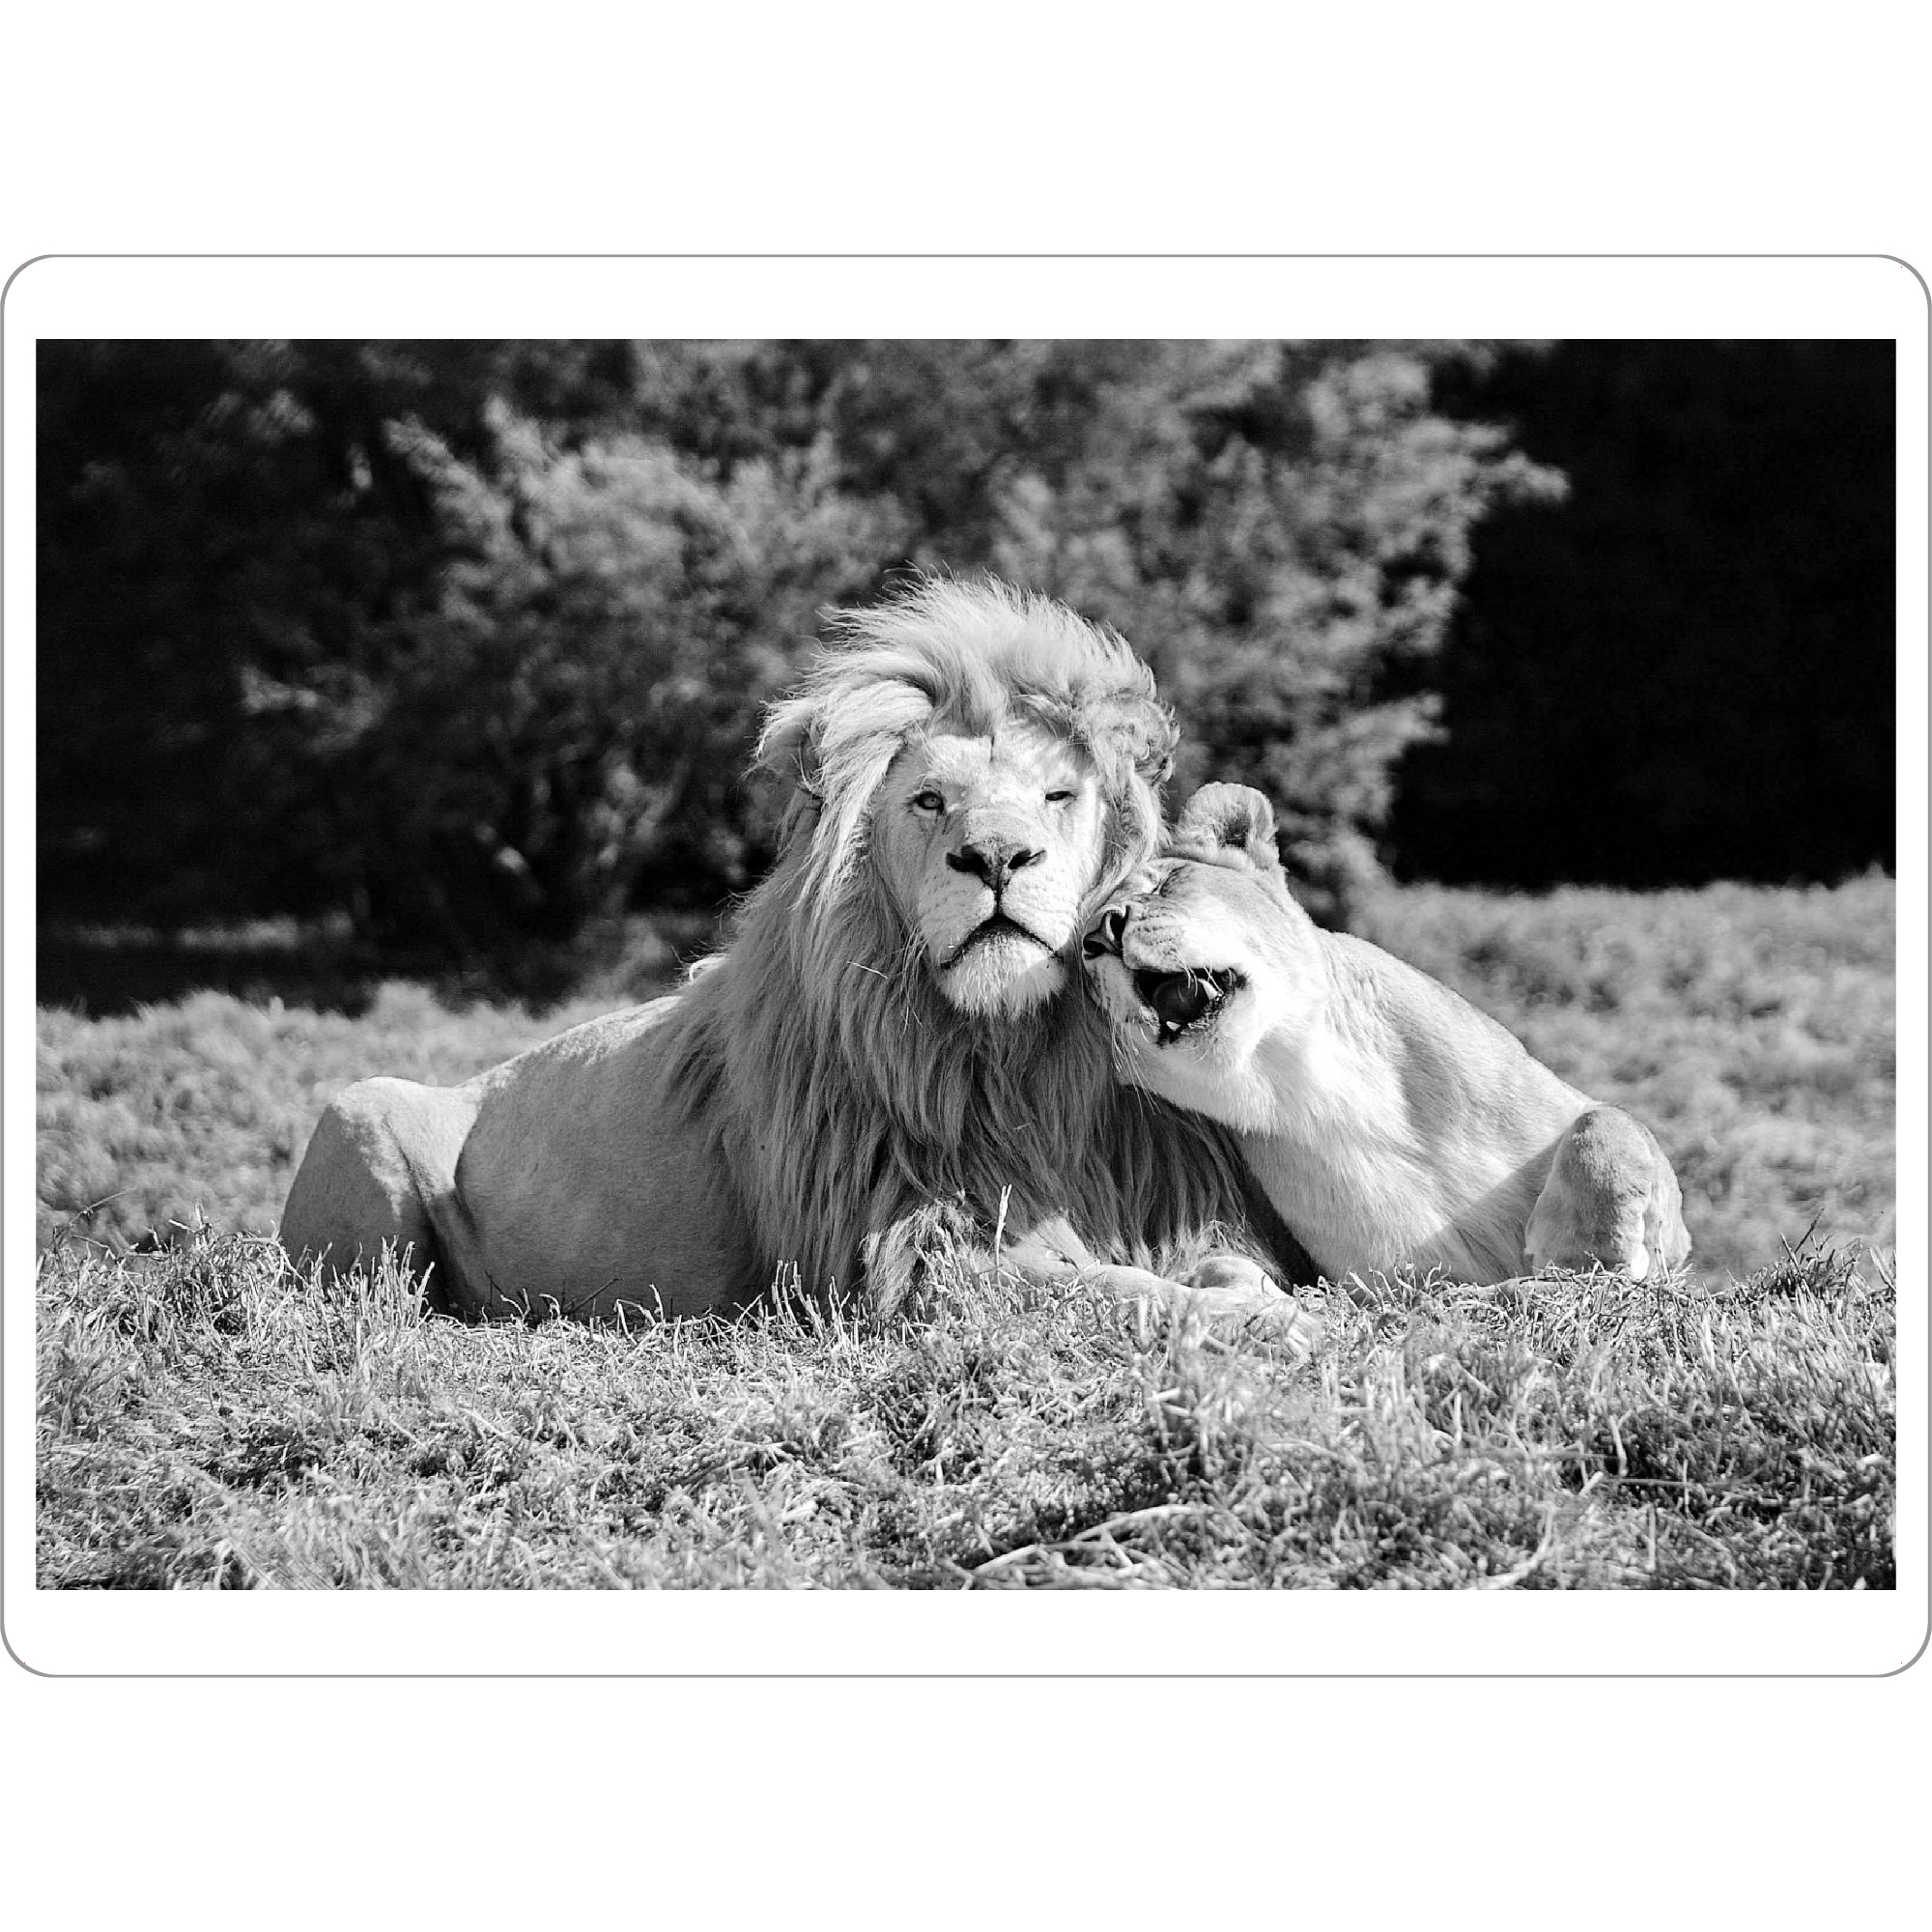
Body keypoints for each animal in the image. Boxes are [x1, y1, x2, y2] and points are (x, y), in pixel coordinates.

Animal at [279, 579, 1310, 1333]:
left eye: (1058, 794)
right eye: (931, 802)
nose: (995, 858)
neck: (1019, 1058)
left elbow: (1216, 1264)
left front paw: (1257, 1297)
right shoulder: (905, 1250)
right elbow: (1098, 1287)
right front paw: (1267, 1323)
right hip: (357, 1110)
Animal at [1082, 782, 1692, 1288]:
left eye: (1168, 882)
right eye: (1082, 952)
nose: (1100, 936)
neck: (1307, 1076)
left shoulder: (1664, 1219)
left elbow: (1607, 1124)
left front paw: (1587, 1250)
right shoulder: (1394, 1283)